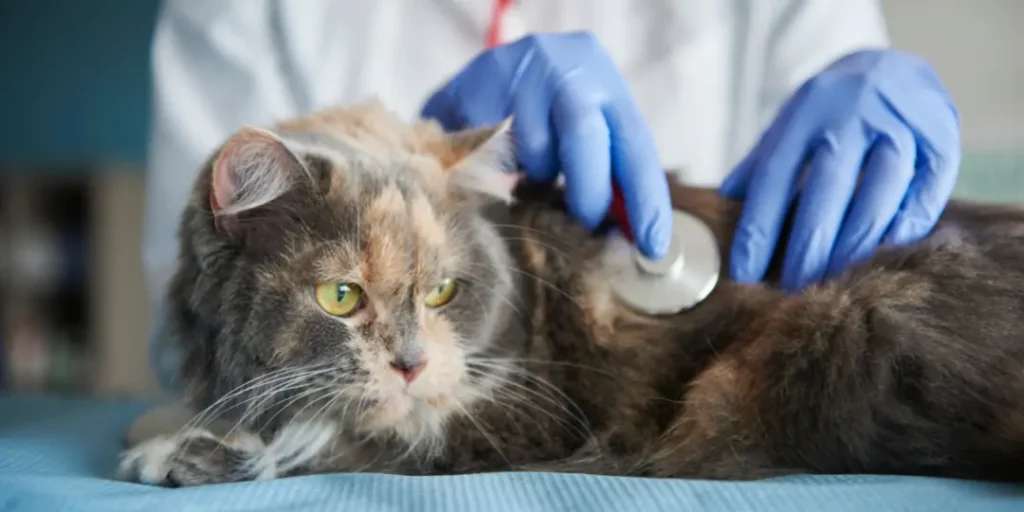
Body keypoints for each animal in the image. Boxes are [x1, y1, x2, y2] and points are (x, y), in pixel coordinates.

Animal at [119, 97, 1024, 485]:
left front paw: (183, 450)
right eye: (341, 298)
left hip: (833, 334)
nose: (411, 364)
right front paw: (170, 424)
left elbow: (347, 435)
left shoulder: (529, 411)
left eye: (443, 293)